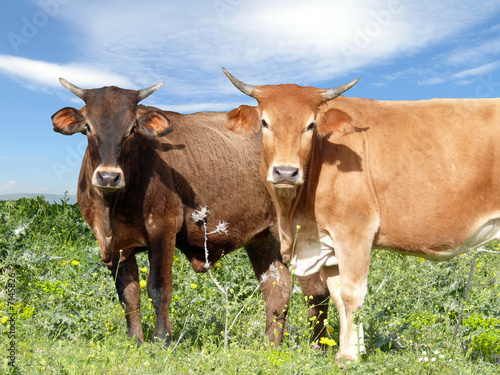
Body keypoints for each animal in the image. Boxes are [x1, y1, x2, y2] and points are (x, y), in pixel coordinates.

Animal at [51, 79, 332, 350]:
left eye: (131, 129)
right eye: (88, 127)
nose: (109, 176)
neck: (112, 207)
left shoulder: (162, 229)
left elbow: (159, 287)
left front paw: (162, 340)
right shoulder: (116, 245)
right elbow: (128, 294)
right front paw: (135, 340)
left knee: (316, 291)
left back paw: (318, 346)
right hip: (263, 239)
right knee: (277, 291)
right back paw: (269, 346)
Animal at [223, 69, 500, 362]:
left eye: (310, 125)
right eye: (265, 122)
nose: (286, 172)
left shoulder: (354, 231)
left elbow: (352, 294)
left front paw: (348, 356)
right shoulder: (328, 243)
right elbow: (337, 295)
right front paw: (351, 349)